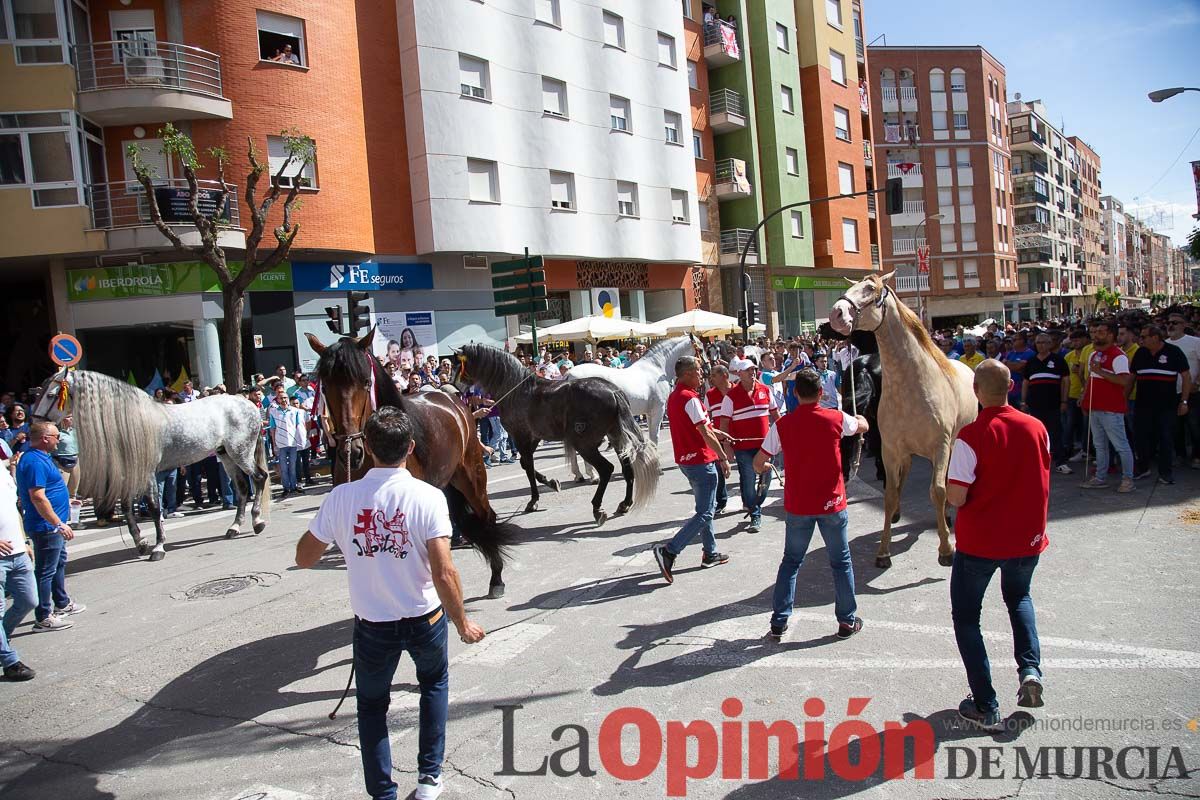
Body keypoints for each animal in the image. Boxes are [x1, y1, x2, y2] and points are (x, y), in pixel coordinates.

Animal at [31, 371, 272, 563]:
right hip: (226, 455)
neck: (130, 423)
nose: (35, 423)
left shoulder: (147, 473)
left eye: (51, 395)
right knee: (242, 487)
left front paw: (158, 547)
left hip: (240, 453)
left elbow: (155, 508)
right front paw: (141, 543)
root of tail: (246, 402)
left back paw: (257, 521)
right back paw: (234, 527)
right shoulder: (129, 474)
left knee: (259, 478)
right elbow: (127, 508)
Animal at [304, 328, 511, 597]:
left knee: (487, 517)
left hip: (471, 476)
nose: (352, 451)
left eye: (366, 382)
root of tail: (453, 399)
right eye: (326, 386)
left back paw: (496, 578)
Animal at [561, 333, 696, 482]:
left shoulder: (649, 413)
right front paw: (658, 468)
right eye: (700, 347)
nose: (705, 367)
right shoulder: (658, 410)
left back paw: (579, 475)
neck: (656, 369)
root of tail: (569, 376)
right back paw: (593, 475)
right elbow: (654, 437)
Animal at [835, 275, 974, 568]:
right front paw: (883, 552)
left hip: (956, 443)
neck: (913, 385)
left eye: (871, 289)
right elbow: (890, 493)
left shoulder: (940, 446)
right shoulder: (891, 448)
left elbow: (938, 490)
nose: (837, 313)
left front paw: (946, 549)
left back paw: (947, 516)